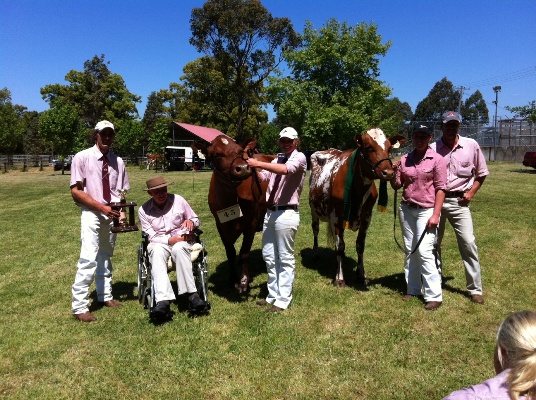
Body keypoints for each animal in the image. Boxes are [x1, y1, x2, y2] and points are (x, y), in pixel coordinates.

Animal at [193, 138, 276, 294]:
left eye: (240, 152)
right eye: (217, 154)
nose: (242, 168)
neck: (230, 200)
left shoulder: (251, 223)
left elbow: (244, 253)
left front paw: (243, 282)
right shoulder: (220, 224)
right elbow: (230, 252)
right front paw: (232, 279)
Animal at [308, 128, 404, 288]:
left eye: (389, 148)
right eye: (369, 147)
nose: (389, 173)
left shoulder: (367, 216)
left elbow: (360, 245)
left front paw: (361, 274)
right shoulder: (336, 216)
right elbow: (340, 246)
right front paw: (340, 278)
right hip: (313, 210)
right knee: (316, 230)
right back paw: (315, 253)